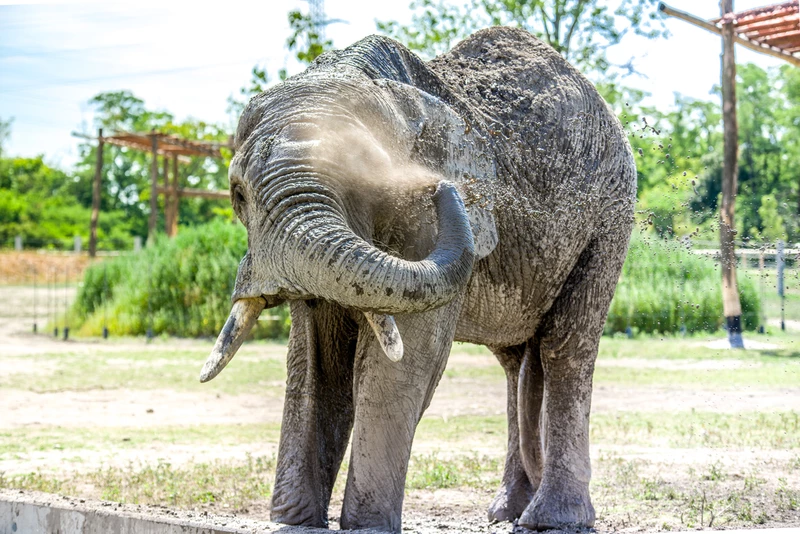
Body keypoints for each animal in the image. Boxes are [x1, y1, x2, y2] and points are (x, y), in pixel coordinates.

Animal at [202, 26, 636, 534]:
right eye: (238, 195)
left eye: (366, 185)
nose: (440, 188)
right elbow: (312, 361)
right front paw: (293, 523)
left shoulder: (430, 221)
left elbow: (406, 357)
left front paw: (366, 526)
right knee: (515, 362)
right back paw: (506, 513)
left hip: (609, 216)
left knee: (564, 347)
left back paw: (549, 520)